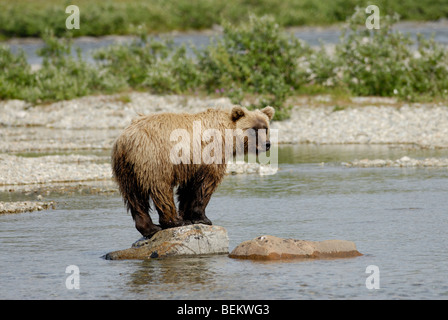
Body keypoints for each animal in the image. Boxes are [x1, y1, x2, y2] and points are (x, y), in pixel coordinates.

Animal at [110, 106, 274, 239]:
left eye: (265, 128)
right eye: (253, 129)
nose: (267, 144)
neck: (228, 136)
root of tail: (126, 140)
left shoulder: (191, 165)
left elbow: (188, 189)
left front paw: (188, 217)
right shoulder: (210, 154)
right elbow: (205, 185)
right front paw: (203, 218)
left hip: (126, 169)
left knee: (133, 196)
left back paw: (150, 228)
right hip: (154, 159)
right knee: (161, 189)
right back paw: (174, 221)